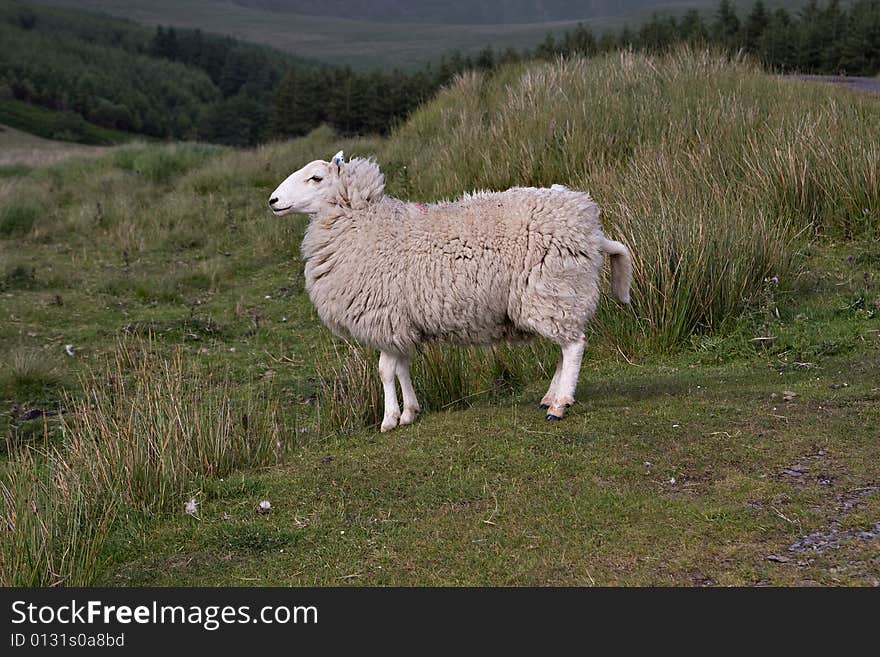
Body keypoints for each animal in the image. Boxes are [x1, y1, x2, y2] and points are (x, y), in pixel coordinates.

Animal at [270, 151, 632, 434]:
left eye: (316, 178)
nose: (272, 201)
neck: (362, 223)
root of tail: (589, 222)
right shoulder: (401, 320)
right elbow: (401, 367)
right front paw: (409, 412)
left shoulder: (385, 315)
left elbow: (385, 370)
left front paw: (389, 419)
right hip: (554, 295)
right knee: (563, 346)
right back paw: (550, 397)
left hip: (551, 289)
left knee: (573, 346)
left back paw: (559, 405)